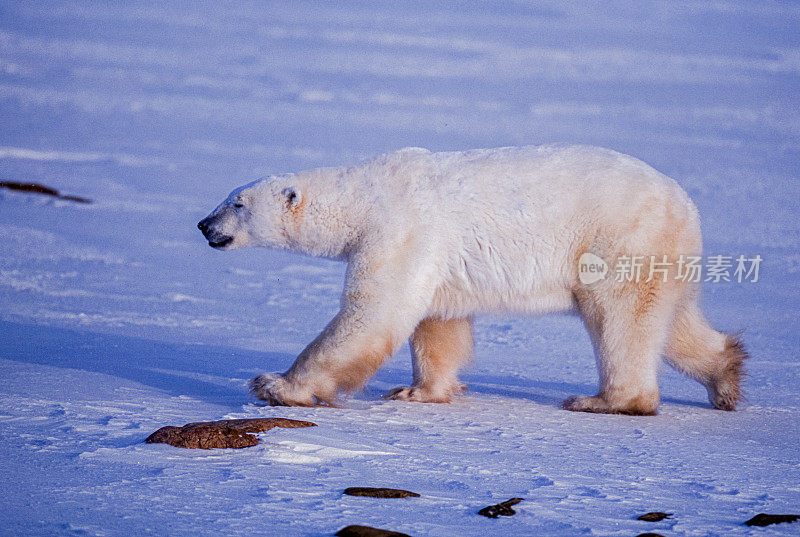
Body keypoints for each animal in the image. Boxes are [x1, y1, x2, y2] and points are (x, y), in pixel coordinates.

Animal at [198, 144, 744, 412]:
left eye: (236, 204)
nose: (204, 225)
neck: (364, 196)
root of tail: (684, 203)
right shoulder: (433, 256)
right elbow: (439, 322)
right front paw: (417, 392)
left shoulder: (401, 229)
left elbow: (372, 316)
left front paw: (274, 385)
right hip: (665, 255)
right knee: (672, 322)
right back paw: (726, 378)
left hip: (619, 241)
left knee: (619, 320)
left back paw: (602, 401)